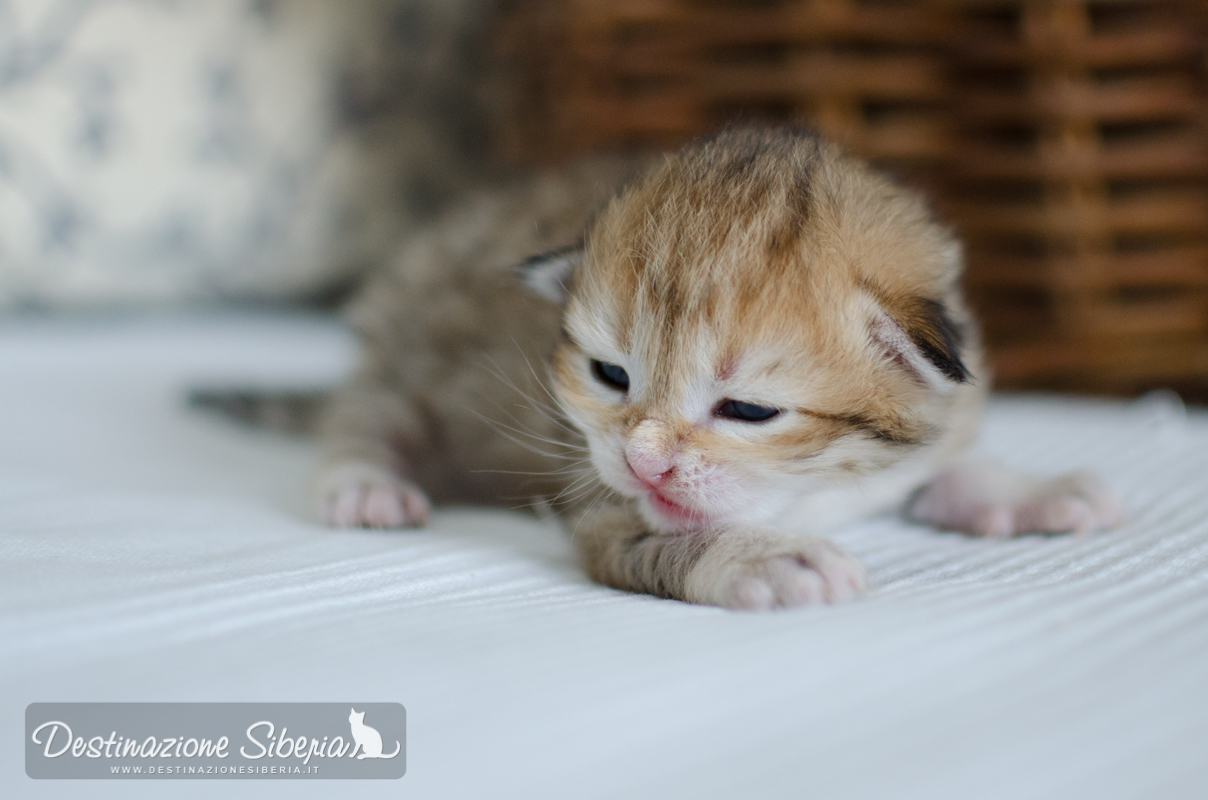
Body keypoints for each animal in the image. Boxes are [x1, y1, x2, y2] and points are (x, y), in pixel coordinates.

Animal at [315, 126, 1123, 610]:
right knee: (363, 415)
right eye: (612, 375)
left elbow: (942, 461)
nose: (644, 461)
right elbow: (677, 539)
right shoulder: (602, 513)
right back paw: (366, 484)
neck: (816, 493)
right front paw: (766, 559)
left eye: (748, 410)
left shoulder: (944, 407)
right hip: (406, 352)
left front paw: (1026, 492)